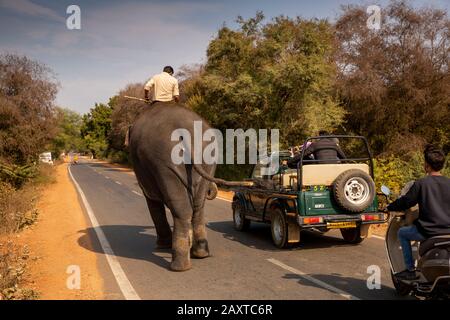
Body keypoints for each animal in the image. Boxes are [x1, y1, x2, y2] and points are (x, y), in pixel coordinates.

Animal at [129, 101, 250, 272]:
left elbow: (152, 203)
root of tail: (184, 131)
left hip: (164, 162)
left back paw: (179, 267)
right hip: (207, 157)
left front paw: (161, 247)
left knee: (182, 209)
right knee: (197, 208)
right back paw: (200, 254)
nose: (212, 190)